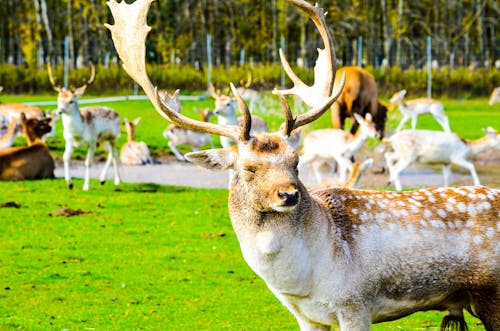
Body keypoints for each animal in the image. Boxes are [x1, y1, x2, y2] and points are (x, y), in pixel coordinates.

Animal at [47, 63, 121, 191]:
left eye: (71, 101)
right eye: (58, 100)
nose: (59, 111)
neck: (78, 134)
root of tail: (117, 114)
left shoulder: (92, 142)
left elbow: (88, 162)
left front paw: (86, 186)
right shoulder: (69, 142)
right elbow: (65, 157)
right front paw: (69, 183)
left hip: (113, 137)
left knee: (114, 154)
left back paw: (113, 180)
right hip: (102, 140)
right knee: (112, 153)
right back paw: (106, 180)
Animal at [107, 0, 500, 331]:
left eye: (295, 162)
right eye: (248, 168)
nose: (289, 195)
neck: (304, 281)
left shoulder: (356, 304)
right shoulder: (307, 316)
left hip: (492, 294)